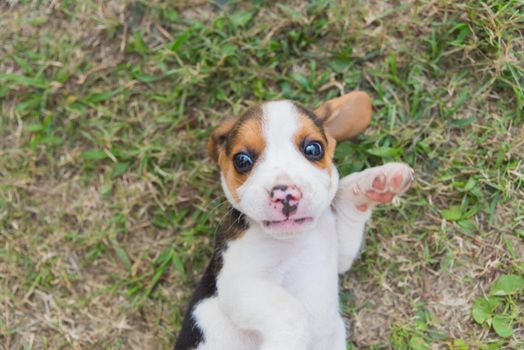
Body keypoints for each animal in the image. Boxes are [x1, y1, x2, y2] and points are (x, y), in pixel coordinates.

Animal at [176, 91, 414, 348]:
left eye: (313, 149)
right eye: (242, 160)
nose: (285, 195)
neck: (293, 240)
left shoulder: (339, 256)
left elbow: (348, 202)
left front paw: (376, 182)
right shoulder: (237, 281)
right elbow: (290, 310)